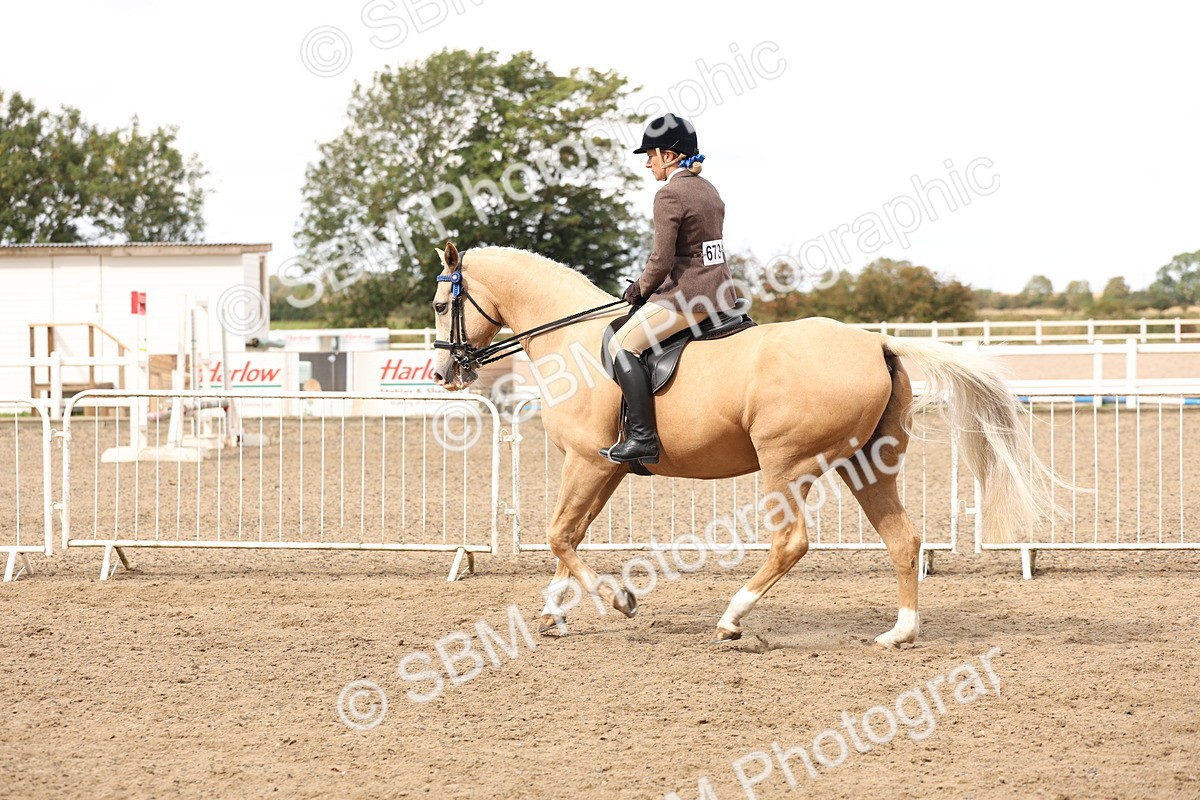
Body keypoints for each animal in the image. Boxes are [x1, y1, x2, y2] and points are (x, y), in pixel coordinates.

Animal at [430, 242, 1056, 646]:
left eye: (440, 306)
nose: (442, 373)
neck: (573, 343)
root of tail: (877, 342)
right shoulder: (603, 467)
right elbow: (569, 535)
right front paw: (552, 615)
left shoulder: (587, 462)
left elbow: (559, 534)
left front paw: (620, 601)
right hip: (866, 466)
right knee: (903, 538)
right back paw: (899, 632)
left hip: (786, 465)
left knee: (791, 542)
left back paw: (732, 619)